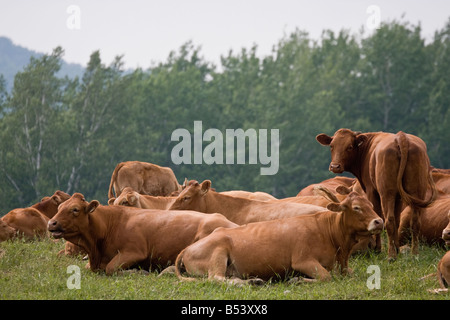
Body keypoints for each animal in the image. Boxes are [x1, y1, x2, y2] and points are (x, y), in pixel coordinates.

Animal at [48, 192, 239, 276]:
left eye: (75, 209)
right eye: (59, 207)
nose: (51, 223)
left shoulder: (135, 251)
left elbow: (111, 268)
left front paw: (137, 271)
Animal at [176, 190, 384, 284]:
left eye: (371, 205)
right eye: (356, 208)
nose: (379, 221)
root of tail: (187, 249)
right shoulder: (302, 260)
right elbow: (326, 277)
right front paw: (297, 280)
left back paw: (254, 281)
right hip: (218, 253)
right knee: (216, 279)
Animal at [316, 128, 436, 260]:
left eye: (350, 146)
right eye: (331, 146)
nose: (335, 166)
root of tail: (401, 137)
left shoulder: (371, 190)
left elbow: (378, 216)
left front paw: (378, 249)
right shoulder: (399, 197)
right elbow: (397, 219)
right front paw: (397, 248)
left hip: (386, 192)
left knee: (388, 220)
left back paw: (391, 256)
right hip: (416, 190)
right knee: (414, 221)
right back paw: (414, 254)